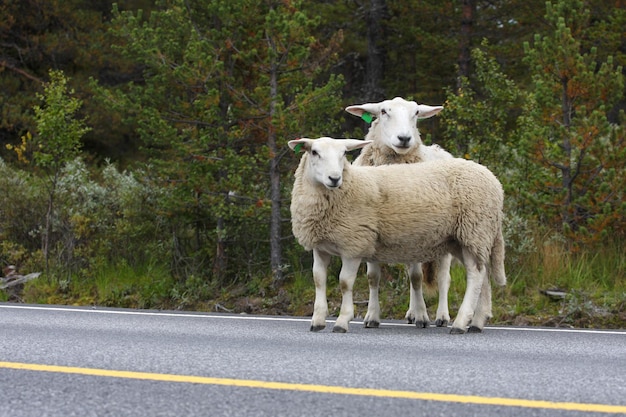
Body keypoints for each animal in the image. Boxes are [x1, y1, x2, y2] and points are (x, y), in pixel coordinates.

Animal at [286, 135, 502, 334]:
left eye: (344, 154)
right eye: (314, 152)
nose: (334, 178)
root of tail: (493, 179)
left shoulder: (354, 244)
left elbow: (345, 283)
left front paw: (342, 321)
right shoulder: (320, 246)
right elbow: (318, 279)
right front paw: (317, 321)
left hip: (474, 229)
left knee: (474, 275)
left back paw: (460, 323)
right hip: (464, 239)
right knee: (482, 275)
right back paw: (477, 322)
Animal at [342, 96, 454, 328]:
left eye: (416, 113)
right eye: (384, 111)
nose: (404, 138)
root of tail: (439, 150)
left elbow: (417, 277)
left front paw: (423, 316)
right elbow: (373, 277)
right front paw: (372, 316)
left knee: (442, 277)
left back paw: (441, 316)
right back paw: (411, 313)